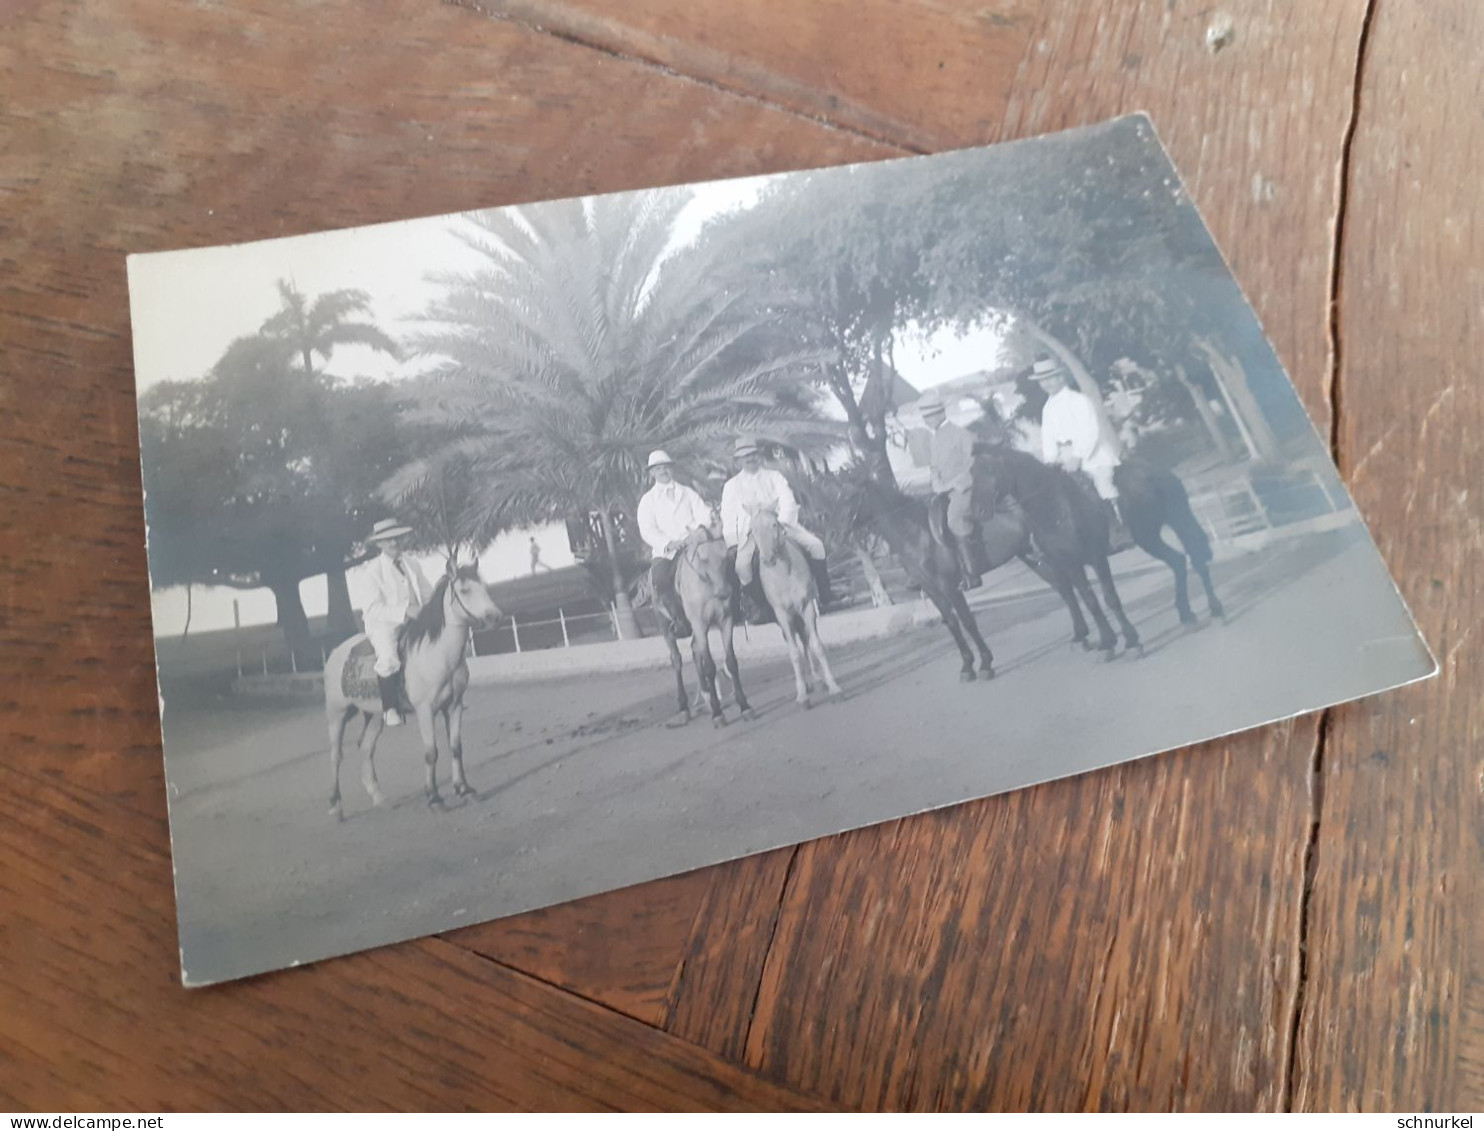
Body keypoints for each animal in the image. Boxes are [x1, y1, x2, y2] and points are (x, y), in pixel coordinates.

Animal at [324, 561, 504, 813]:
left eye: (485, 586)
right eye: (465, 590)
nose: (495, 617)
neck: (438, 655)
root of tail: (335, 652)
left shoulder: (454, 706)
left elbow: (456, 747)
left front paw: (464, 789)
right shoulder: (425, 710)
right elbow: (431, 753)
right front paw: (434, 798)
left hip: (375, 715)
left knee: (366, 748)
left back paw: (379, 798)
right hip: (336, 714)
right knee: (335, 755)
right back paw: (336, 806)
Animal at [747, 504, 842, 700]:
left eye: (774, 524)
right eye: (752, 530)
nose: (768, 559)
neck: (785, 574)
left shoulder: (807, 607)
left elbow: (816, 646)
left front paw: (833, 686)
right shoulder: (783, 615)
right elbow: (793, 653)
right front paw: (802, 694)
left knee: (805, 640)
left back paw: (816, 679)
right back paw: (806, 683)